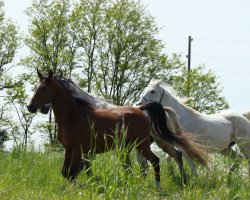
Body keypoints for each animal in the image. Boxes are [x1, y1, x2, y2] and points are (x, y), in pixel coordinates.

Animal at [27, 70, 207, 188]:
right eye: (34, 87)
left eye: (44, 88)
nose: (31, 107)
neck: (74, 116)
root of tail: (141, 109)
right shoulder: (69, 149)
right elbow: (67, 172)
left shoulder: (79, 149)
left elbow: (73, 173)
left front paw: (86, 186)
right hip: (133, 146)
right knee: (149, 164)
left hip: (145, 144)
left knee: (161, 159)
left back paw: (161, 186)